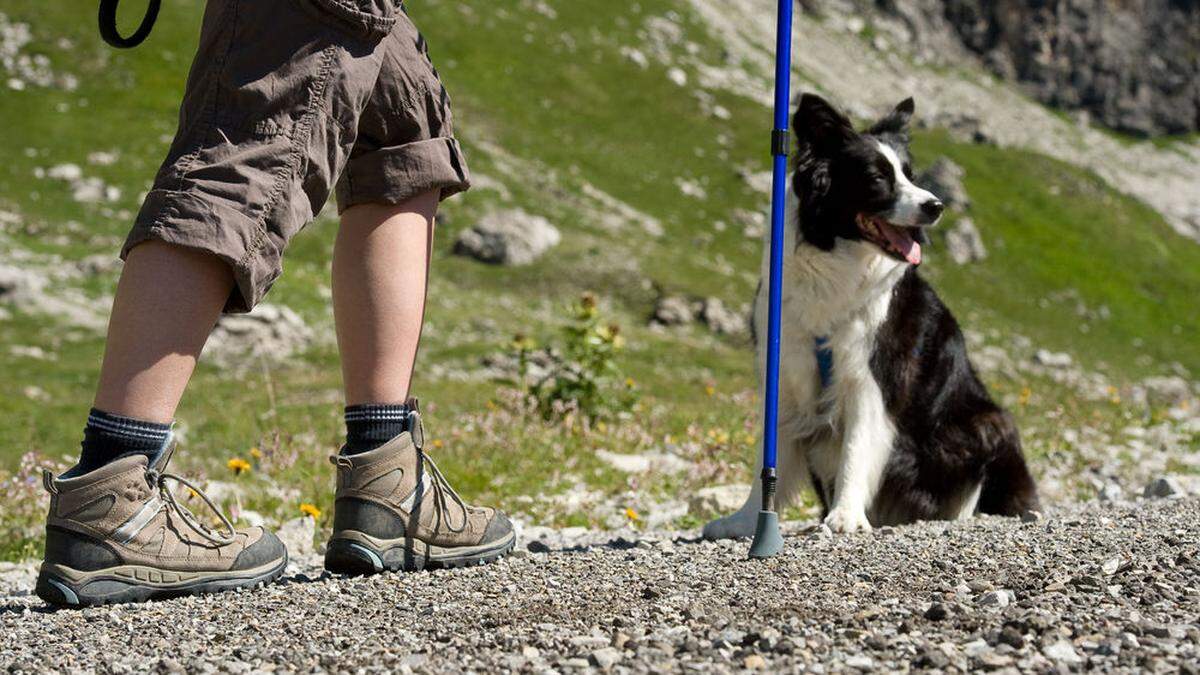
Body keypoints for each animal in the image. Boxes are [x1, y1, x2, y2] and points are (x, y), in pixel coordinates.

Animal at [705, 96, 1036, 535]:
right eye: (879, 178)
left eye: (911, 175)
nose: (936, 206)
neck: (836, 268)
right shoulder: (785, 371)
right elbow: (768, 459)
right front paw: (743, 520)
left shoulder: (871, 378)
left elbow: (856, 447)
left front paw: (845, 516)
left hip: (988, 422)